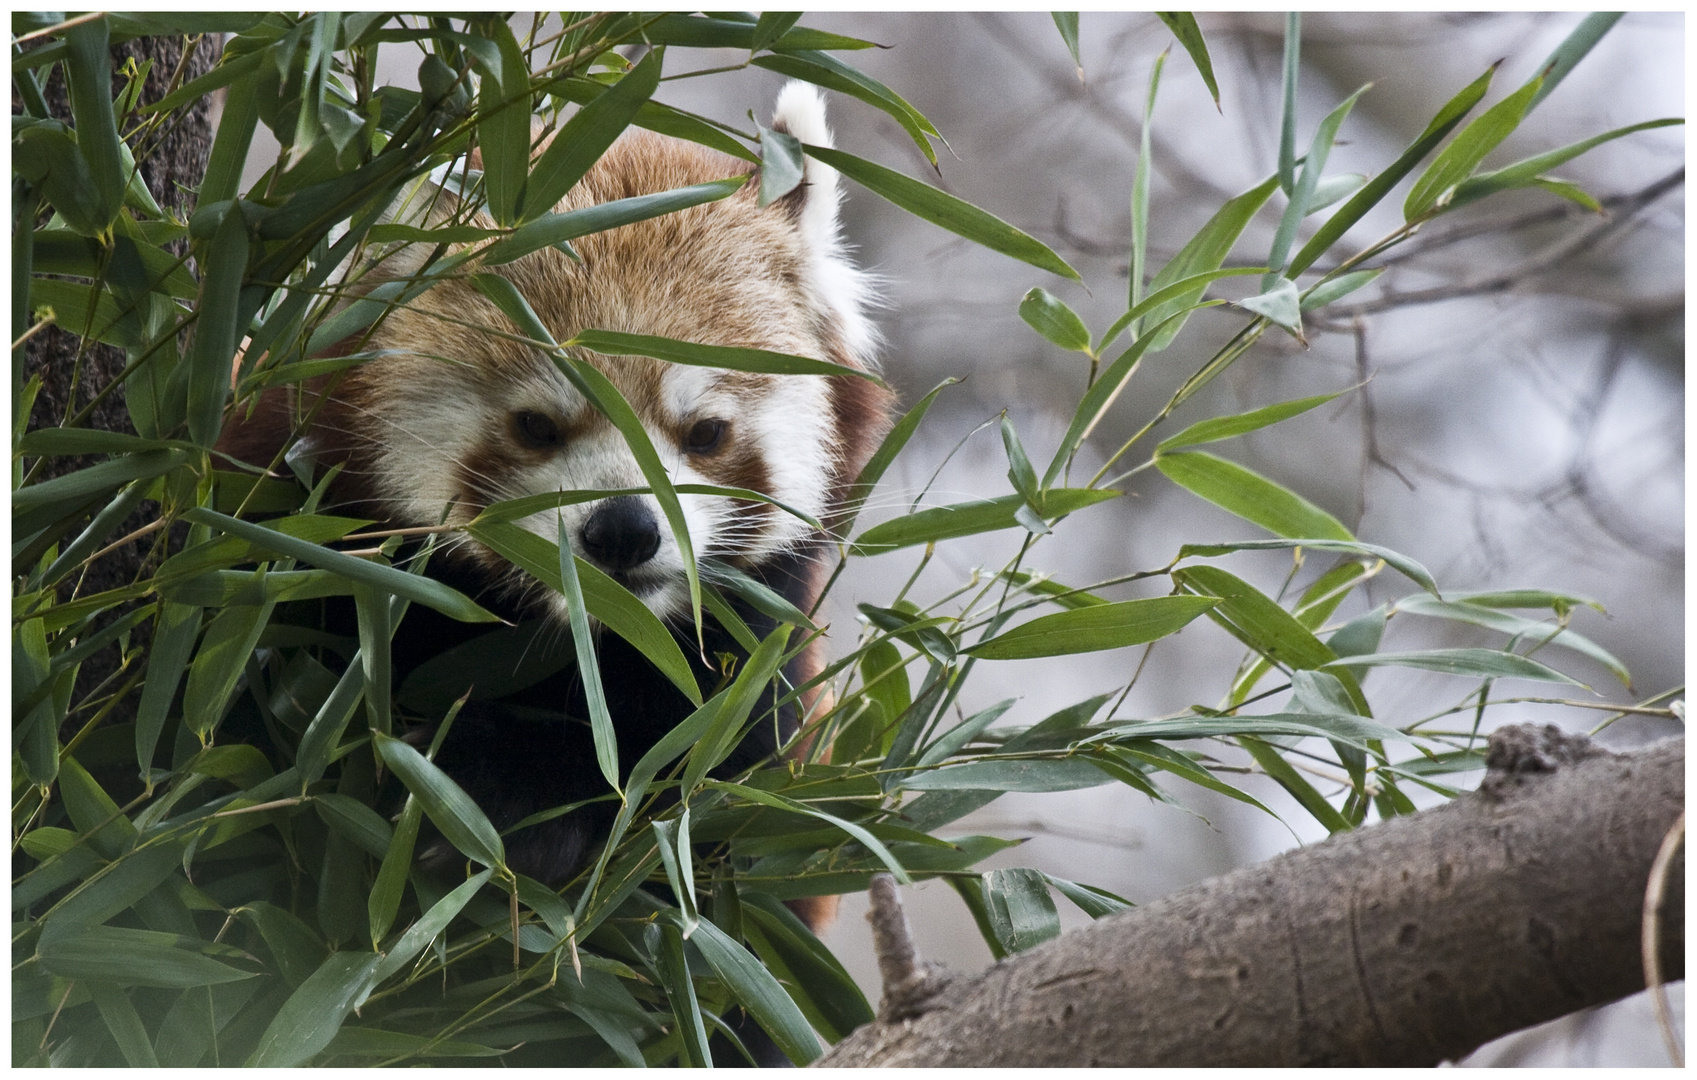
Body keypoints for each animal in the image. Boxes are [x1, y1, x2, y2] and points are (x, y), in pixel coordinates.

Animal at [218, 86, 896, 930]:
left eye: (704, 434)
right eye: (537, 426)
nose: (623, 531)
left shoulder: (754, 666)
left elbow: (693, 802)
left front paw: (503, 790)